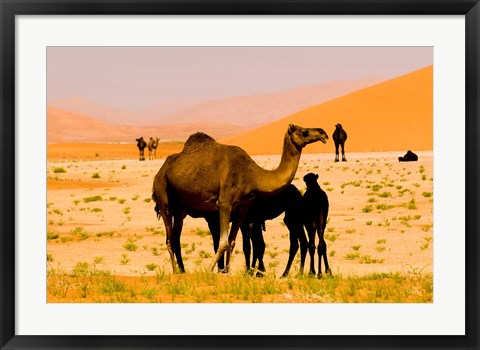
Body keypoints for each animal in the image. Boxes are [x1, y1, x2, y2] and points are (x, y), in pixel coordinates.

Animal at [152, 123, 328, 274]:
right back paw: (175, 271)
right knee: (169, 237)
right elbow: (223, 242)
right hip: (163, 197)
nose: (323, 133)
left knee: (175, 237)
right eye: (303, 131)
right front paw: (209, 270)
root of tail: (161, 170)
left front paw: (228, 272)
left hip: (181, 208)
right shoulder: (225, 203)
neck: (253, 176)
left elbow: (232, 242)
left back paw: (181, 271)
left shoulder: (244, 207)